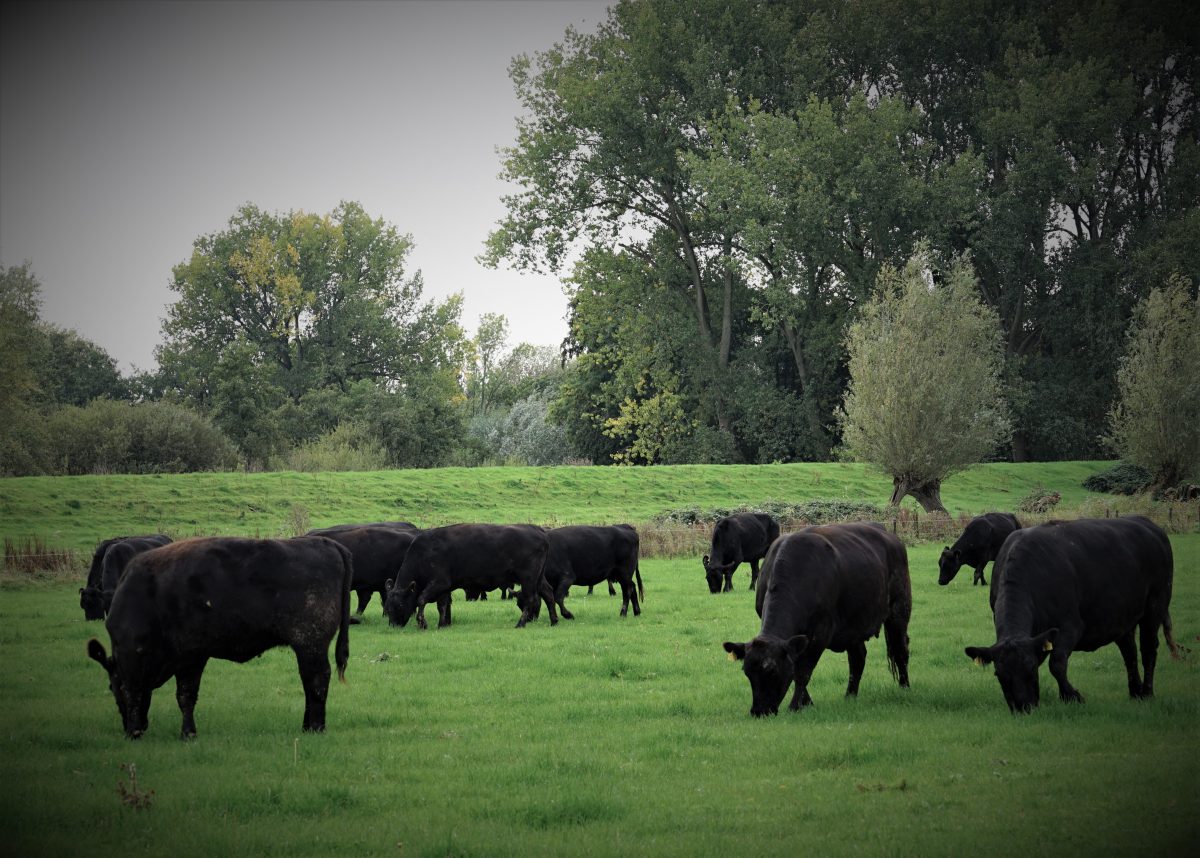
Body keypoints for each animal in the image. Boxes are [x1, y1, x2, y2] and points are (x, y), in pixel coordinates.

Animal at [85, 532, 350, 744]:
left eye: (113, 687)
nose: (131, 730)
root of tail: (328, 544)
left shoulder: (187, 658)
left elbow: (180, 695)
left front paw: (185, 733)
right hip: (306, 647)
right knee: (309, 681)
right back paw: (307, 726)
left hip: (310, 644)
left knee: (317, 679)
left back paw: (315, 727)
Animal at [381, 523, 554, 628]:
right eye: (387, 607)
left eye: (400, 605)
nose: (394, 625)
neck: (424, 552)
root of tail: (537, 530)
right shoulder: (444, 588)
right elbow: (442, 605)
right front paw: (442, 624)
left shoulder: (439, 583)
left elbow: (421, 600)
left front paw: (422, 623)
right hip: (538, 579)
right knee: (548, 593)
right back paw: (555, 620)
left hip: (528, 579)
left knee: (531, 599)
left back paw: (520, 624)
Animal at [720, 523, 907, 720]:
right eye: (746, 672)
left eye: (772, 670)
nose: (759, 712)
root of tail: (889, 535)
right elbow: (795, 668)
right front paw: (807, 702)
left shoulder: (820, 634)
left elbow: (802, 672)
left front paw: (795, 706)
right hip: (853, 626)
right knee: (858, 658)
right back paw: (850, 696)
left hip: (899, 608)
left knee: (900, 649)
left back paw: (904, 687)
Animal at [960, 516, 1176, 710]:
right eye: (999, 674)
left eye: (1031, 667)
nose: (1023, 707)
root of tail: (1149, 524)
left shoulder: (1071, 627)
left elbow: (1056, 663)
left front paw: (1072, 696)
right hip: (1123, 618)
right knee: (1129, 652)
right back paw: (1134, 692)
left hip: (1156, 604)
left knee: (1148, 648)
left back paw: (1147, 693)